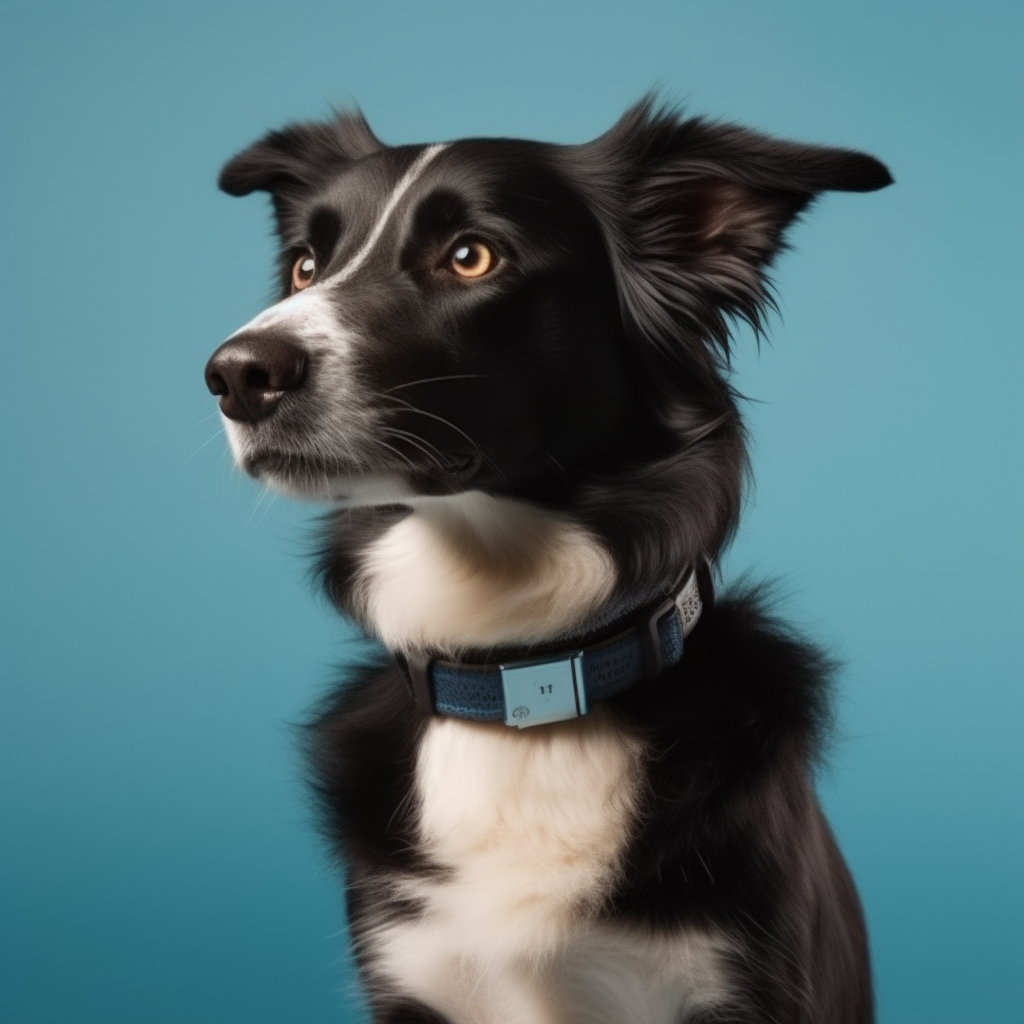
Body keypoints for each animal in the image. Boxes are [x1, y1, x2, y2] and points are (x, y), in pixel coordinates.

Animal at [205, 101, 888, 1024]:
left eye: (471, 255)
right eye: (306, 266)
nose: (237, 374)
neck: (525, 679)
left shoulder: (746, 983)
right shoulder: (412, 970)